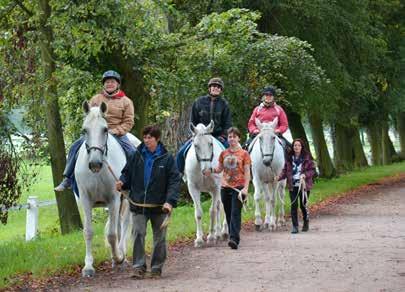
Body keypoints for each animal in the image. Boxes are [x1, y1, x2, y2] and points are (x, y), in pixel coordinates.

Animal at [74, 101, 140, 278]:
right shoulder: (85, 200)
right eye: (84, 130)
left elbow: (111, 234)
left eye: (105, 129)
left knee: (124, 223)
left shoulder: (114, 198)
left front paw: (119, 257)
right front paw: (88, 267)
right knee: (117, 225)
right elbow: (88, 232)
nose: (95, 163)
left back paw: (121, 253)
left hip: (126, 200)